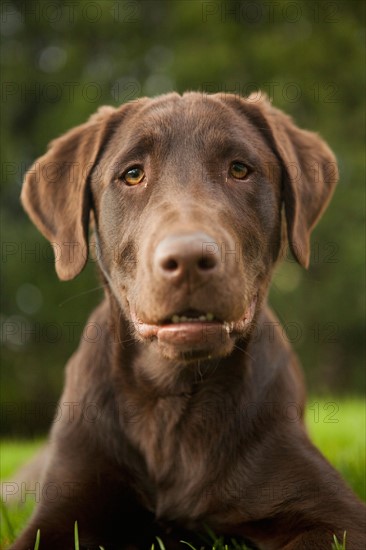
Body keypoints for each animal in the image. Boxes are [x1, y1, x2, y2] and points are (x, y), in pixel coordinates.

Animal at [10, 92, 364, 548]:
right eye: (132, 174)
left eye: (239, 169)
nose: (190, 258)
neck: (170, 394)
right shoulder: (59, 512)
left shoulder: (334, 515)